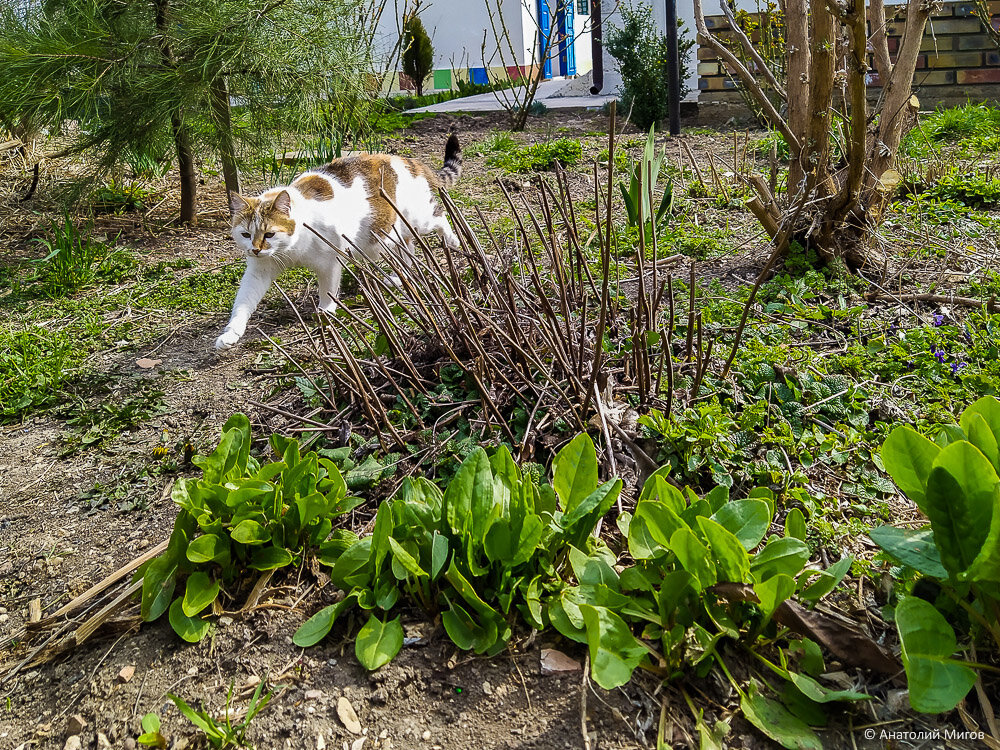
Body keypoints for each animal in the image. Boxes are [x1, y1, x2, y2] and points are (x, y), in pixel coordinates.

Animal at [213, 134, 462, 352]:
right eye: (246, 234)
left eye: (269, 234)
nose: (255, 249)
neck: (291, 249)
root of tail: (406, 160)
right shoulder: (259, 270)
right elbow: (243, 303)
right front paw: (231, 333)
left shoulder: (329, 259)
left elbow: (328, 288)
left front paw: (326, 310)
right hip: (385, 236)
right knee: (407, 248)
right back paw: (398, 277)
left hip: (417, 221)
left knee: (440, 217)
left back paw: (452, 240)